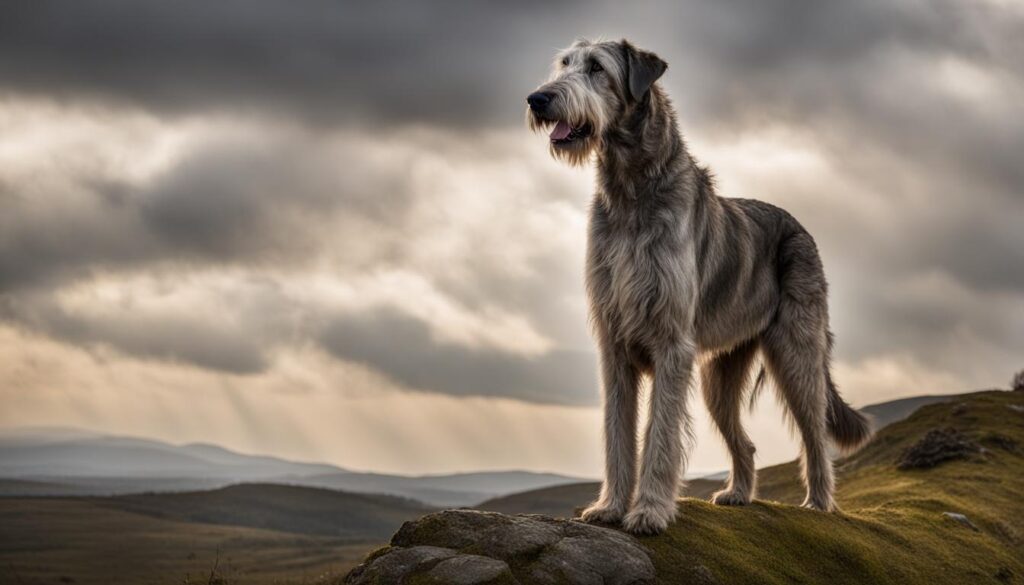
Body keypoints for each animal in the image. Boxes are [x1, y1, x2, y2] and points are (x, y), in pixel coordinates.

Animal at [528, 38, 872, 536]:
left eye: (597, 68)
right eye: (564, 64)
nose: (538, 99)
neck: (631, 189)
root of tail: (800, 226)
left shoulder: (672, 343)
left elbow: (660, 433)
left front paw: (649, 511)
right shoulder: (614, 343)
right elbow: (616, 430)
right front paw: (611, 505)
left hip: (797, 352)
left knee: (815, 431)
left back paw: (819, 502)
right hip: (720, 372)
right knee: (745, 441)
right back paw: (739, 493)